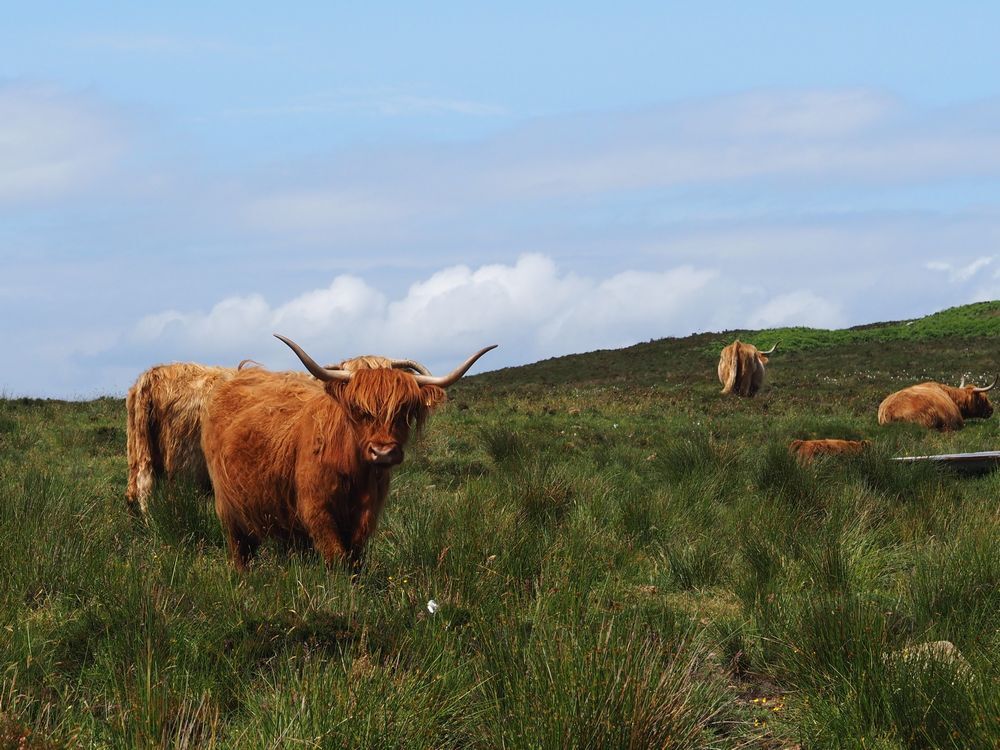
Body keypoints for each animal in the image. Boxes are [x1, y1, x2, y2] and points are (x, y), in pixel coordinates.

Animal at [200, 334, 496, 568]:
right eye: (358, 409)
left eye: (405, 410)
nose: (383, 452)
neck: (355, 473)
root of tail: (243, 373)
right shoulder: (316, 510)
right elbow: (337, 557)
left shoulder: (367, 514)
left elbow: (354, 557)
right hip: (228, 507)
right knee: (240, 551)